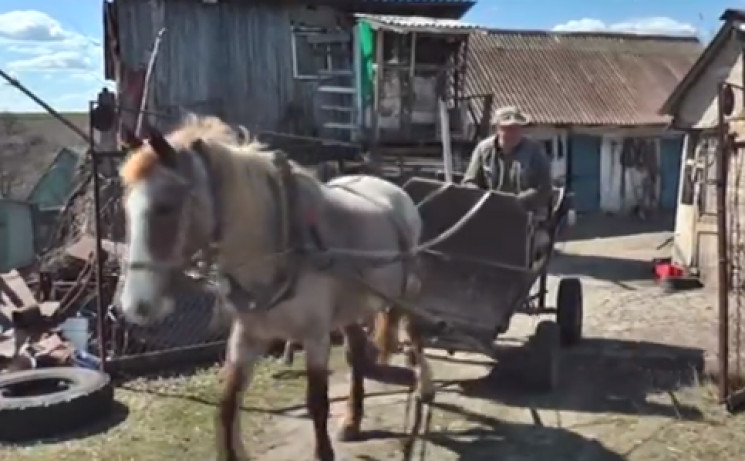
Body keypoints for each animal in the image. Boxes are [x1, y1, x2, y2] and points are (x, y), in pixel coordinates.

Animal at [113, 112, 434, 460]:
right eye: (125, 207)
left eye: (165, 207)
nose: (134, 306)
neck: (280, 245)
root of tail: (392, 189)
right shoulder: (246, 336)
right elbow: (227, 407)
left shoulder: (315, 337)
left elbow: (317, 403)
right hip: (351, 307)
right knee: (356, 355)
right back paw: (352, 420)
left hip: (409, 289)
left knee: (415, 334)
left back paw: (425, 387)